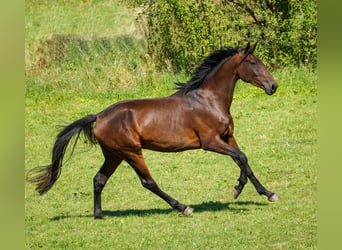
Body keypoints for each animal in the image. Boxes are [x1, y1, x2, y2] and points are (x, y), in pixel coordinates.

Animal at [28, 43, 280, 219]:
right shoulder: (210, 142)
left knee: (99, 179)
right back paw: (183, 207)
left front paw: (267, 193)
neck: (209, 100)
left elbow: (244, 161)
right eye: (254, 63)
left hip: (114, 155)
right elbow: (241, 158)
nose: (273, 86)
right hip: (131, 152)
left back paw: (99, 215)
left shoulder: (228, 137)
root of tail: (99, 116)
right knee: (148, 182)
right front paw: (237, 189)